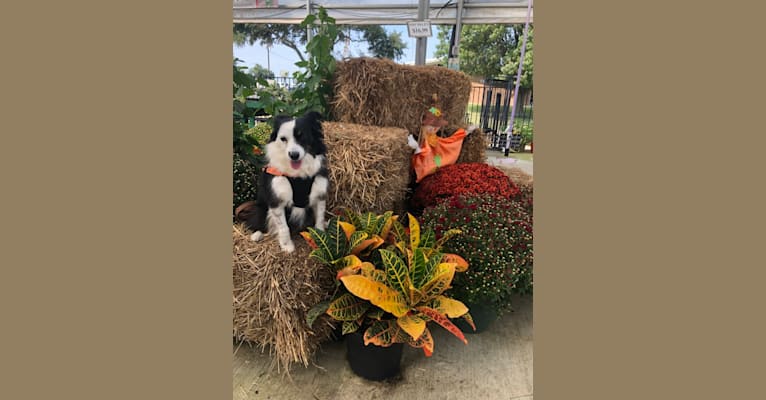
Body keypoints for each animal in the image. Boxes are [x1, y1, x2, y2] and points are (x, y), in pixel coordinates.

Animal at [246, 111, 330, 252]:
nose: (294, 155)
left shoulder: (319, 196)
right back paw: (257, 234)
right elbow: (283, 227)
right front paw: (287, 246)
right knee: (258, 221)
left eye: (302, 136)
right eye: (283, 139)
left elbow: (319, 220)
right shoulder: (277, 201)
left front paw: (321, 238)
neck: (298, 174)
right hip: (261, 207)